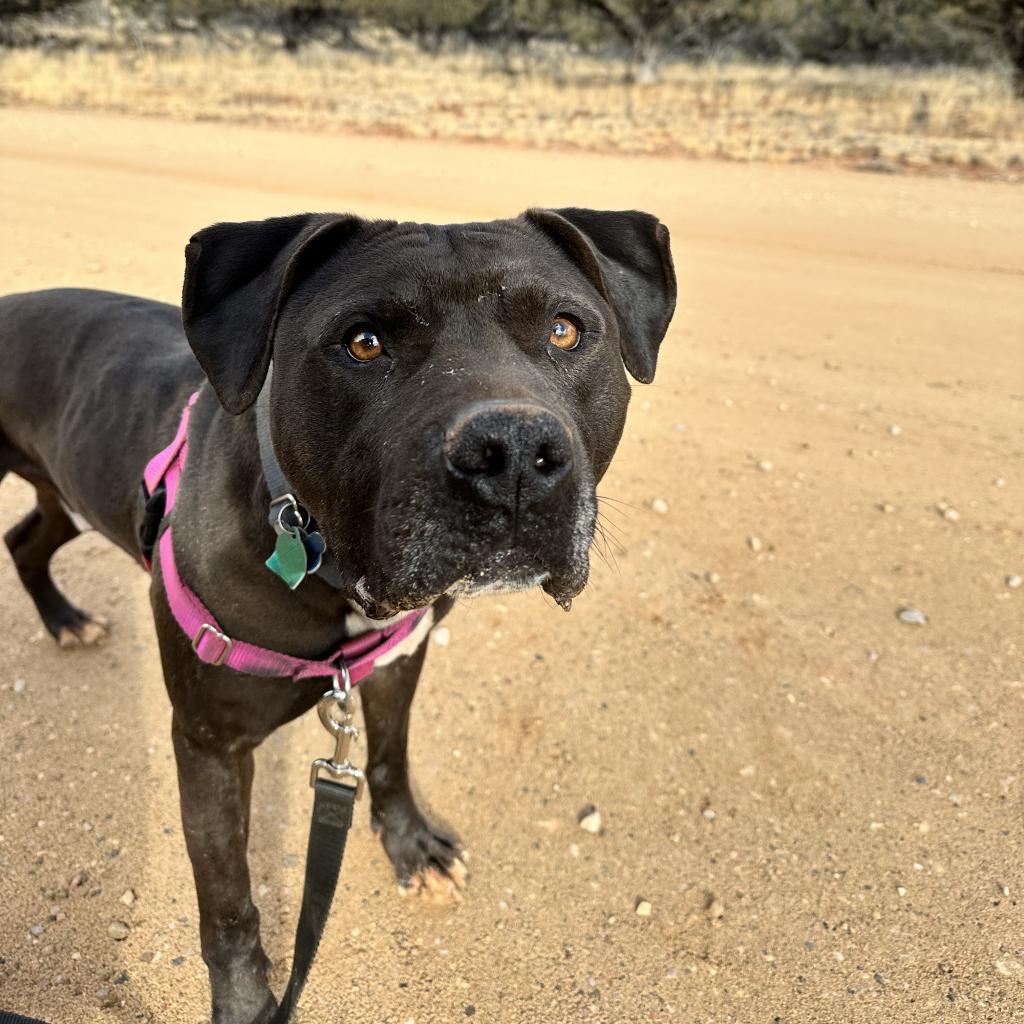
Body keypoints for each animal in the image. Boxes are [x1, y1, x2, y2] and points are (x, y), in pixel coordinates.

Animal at [0, 209, 675, 1024]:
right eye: (364, 342)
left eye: (566, 331)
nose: (513, 451)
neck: (327, 568)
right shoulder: (209, 745)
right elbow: (228, 900)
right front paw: (246, 1002)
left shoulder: (398, 661)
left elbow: (388, 757)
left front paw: (411, 846)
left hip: (63, 493)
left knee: (24, 540)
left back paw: (64, 618)